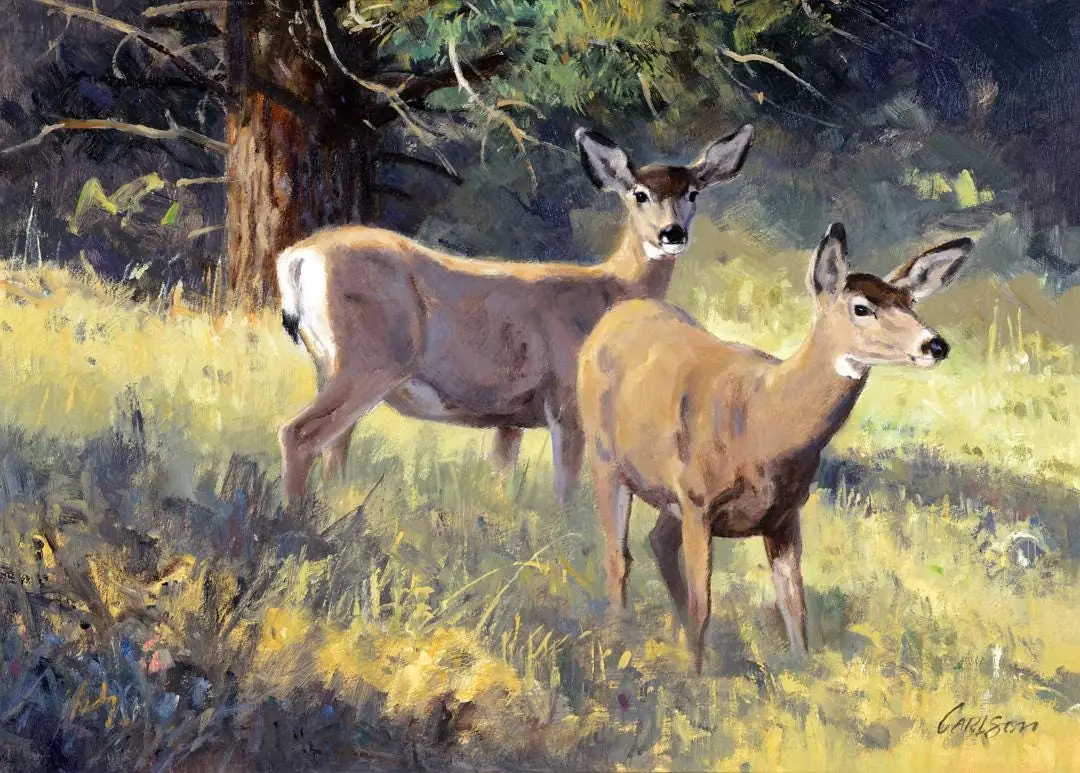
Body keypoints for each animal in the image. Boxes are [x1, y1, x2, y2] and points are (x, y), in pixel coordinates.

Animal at [274, 124, 756, 505]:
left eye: (692, 192)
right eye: (639, 194)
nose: (671, 233)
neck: (609, 291)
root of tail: (296, 258)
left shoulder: (509, 419)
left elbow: (501, 483)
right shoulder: (565, 400)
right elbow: (567, 493)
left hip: (330, 364)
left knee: (334, 446)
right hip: (370, 359)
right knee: (299, 434)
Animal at [576, 222, 973, 672]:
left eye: (910, 302)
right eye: (861, 308)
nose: (935, 345)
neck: (764, 424)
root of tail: (615, 316)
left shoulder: (783, 515)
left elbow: (794, 605)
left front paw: (801, 672)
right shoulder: (698, 502)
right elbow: (703, 603)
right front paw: (697, 678)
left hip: (667, 495)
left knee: (657, 543)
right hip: (605, 457)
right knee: (618, 554)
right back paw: (618, 634)